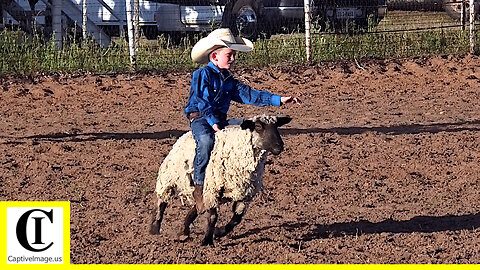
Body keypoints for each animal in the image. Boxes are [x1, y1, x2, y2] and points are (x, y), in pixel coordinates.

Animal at [150, 115, 292, 246]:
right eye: (258, 126)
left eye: (277, 126)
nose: (279, 146)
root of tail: (183, 137)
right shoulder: (212, 190)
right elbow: (213, 217)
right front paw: (207, 241)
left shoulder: (245, 195)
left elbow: (237, 219)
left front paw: (219, 232)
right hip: (168, 178)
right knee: (162, 201)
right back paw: (155, 228)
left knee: (197, 207)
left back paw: (184, 231)